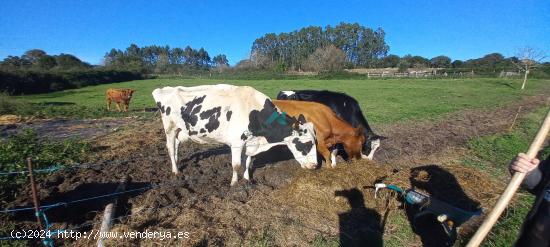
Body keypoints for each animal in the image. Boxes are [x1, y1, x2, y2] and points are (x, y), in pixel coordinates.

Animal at [154, 84, 320, 185]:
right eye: (307, 143)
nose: (314, 166)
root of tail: (164, 89)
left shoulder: (250, 142)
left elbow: (247, 162)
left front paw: (247, 179)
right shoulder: (237, 143)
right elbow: (236, 165)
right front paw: (234, 183)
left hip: (180, 131)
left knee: (176, 146)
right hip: (169, 128)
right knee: (170, 148)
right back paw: (175, 171)